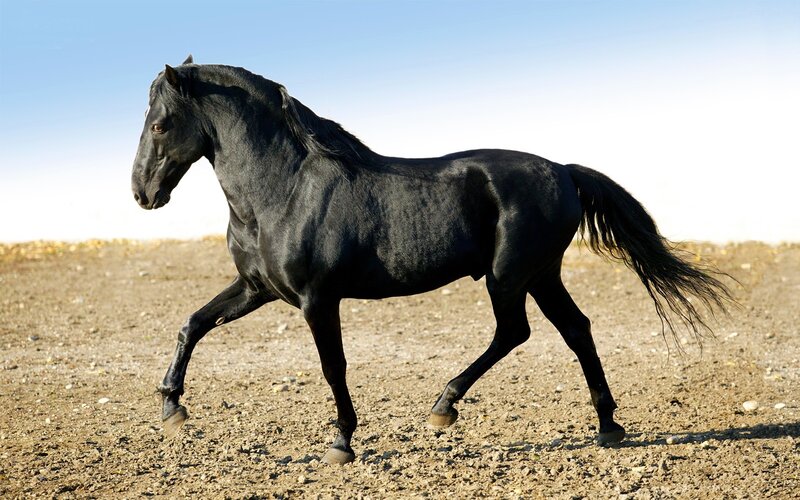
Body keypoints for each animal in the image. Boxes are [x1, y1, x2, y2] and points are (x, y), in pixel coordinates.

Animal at [131, 56, 731, 464]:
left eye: (159, 124)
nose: (142, 194)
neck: (284, 189)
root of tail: (563, 170)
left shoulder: (317, 299)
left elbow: (332, 366)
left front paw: (342, 442)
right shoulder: (258, 289)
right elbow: (193, 323)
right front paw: (171, 410)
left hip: (509, 275)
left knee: (515, 332)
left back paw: (445, 406)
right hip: (541, 275)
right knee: (575, 329)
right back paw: (606, 426)